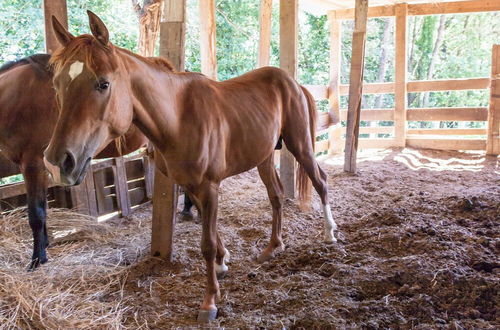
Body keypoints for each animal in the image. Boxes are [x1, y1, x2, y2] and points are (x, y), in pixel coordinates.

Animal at [45, 12, 338, 322]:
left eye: (103, 84)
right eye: (57, 85)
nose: (57, 163)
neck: (178, 118)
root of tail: (293, 83)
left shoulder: (209, 186)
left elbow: (206, 243)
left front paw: (209, 301)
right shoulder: (189, 184)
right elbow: (209, 228)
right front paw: (223, 262)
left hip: (300, 145)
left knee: (320, 181)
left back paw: (329, 232)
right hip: (264, 157)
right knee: (276, 195)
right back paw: (273, 246)